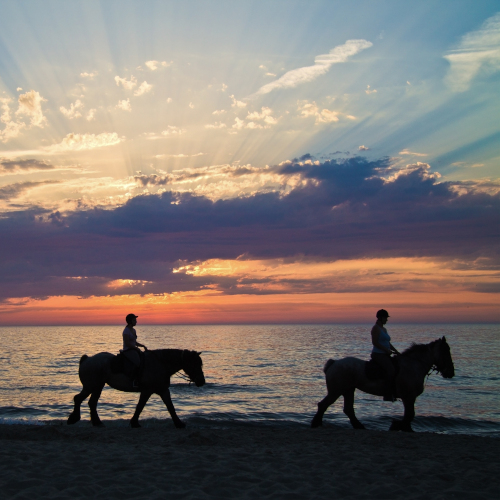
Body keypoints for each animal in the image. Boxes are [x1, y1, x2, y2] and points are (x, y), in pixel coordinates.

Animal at [67, 350, 205, 428]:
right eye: (195, 364)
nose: (202, 381)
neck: (160, 363)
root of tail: (87, 359)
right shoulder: (147, 391)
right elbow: (140, 406)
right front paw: (134, 423)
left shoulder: (163, 390)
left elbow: (170, 407)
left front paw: (179, 423)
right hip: (90, 386)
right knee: (78, 399)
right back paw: (74, 418)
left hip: (98, 387)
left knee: (92, 403)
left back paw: (97, 422)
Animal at [310, 338, 456, 432]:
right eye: (445, 351)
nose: (451, 372)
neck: (413, 365)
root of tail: (334, 363)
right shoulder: (408, 397)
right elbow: (410, 414)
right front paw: (398, 426)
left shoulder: (409, 398)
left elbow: (409, 415)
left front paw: (404, 427)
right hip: (336, 391)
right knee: (323, 405)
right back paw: (316, 423)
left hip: (348, 390)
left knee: (348, 409)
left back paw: (359, 426)